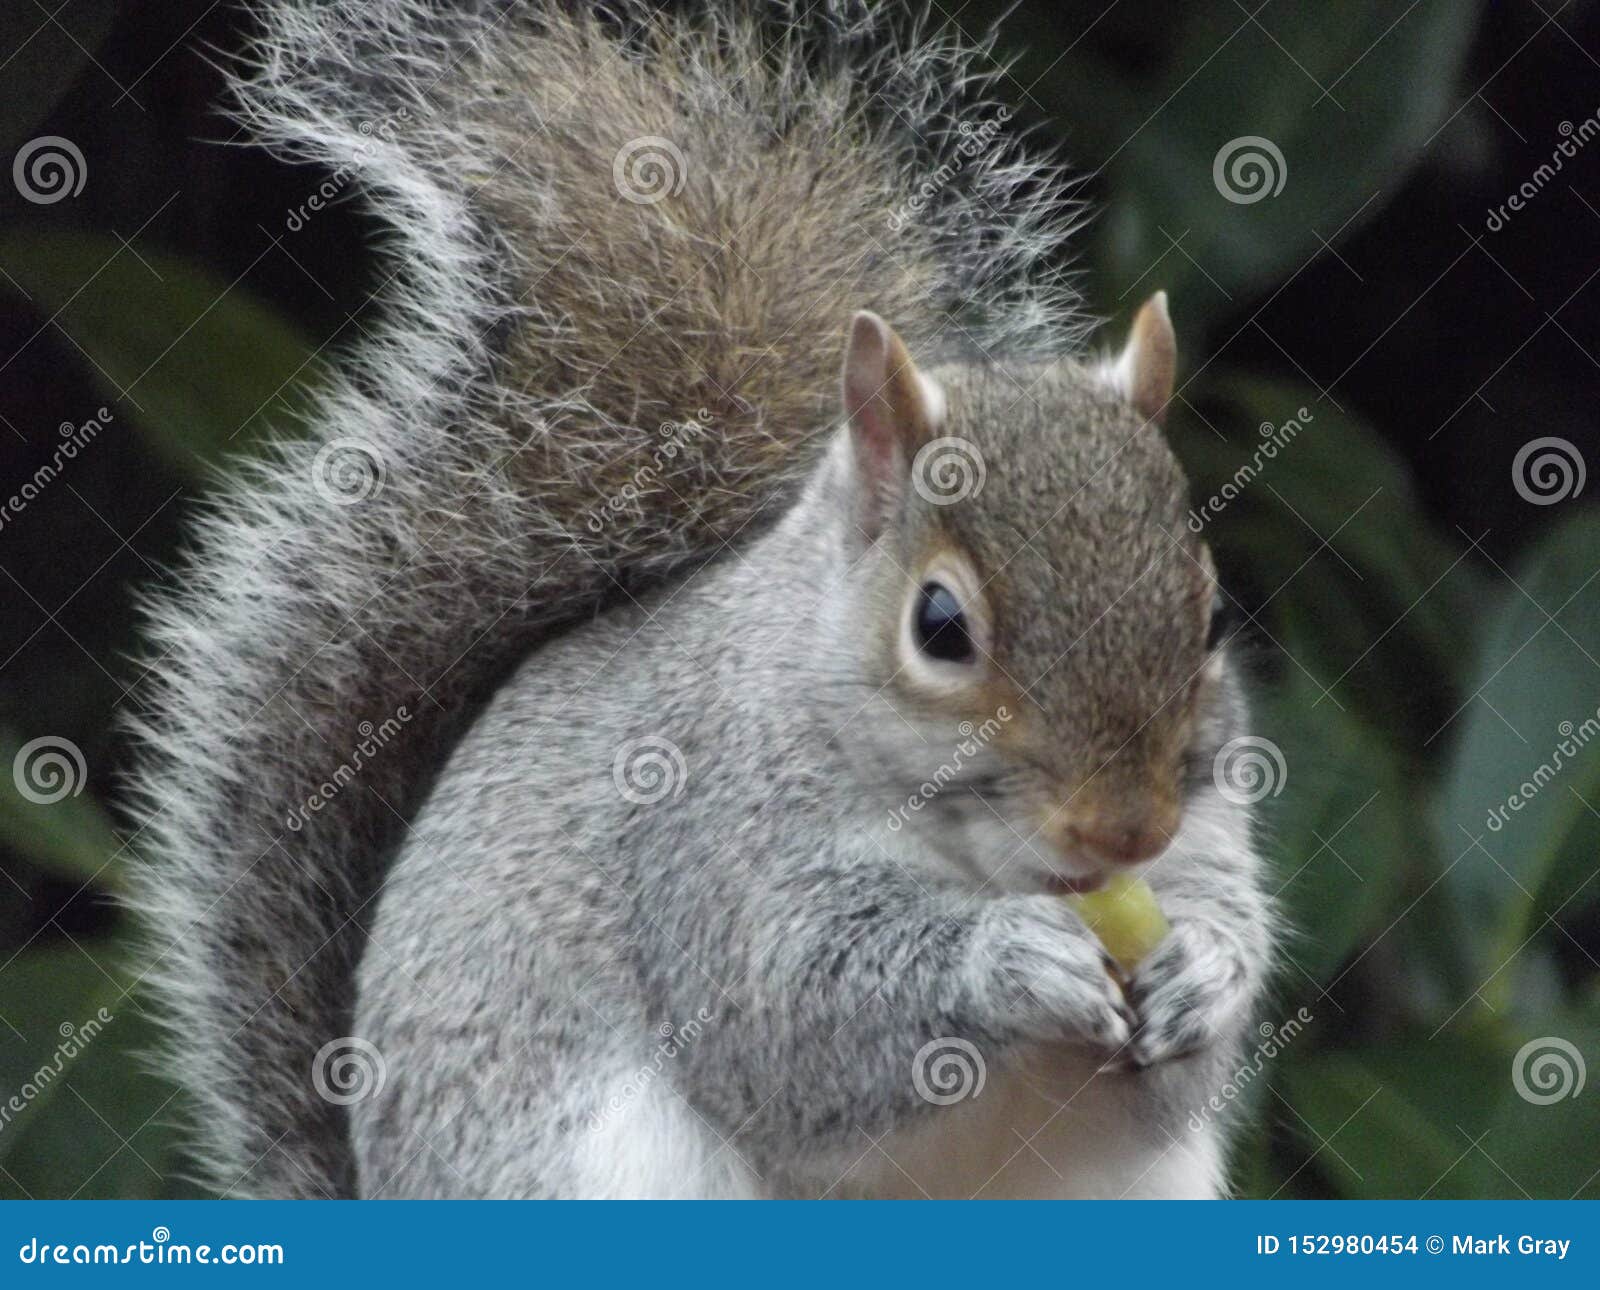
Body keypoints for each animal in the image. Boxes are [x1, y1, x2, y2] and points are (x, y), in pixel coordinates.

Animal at [125, 0, 1274, 1199]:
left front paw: (1205, 971)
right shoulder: (703, 840)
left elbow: (1190, 1048)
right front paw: (1003, 957)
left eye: (1211, 619)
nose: (1127, 829)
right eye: (940, 628)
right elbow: (781, 1018)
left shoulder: (1207, 834)